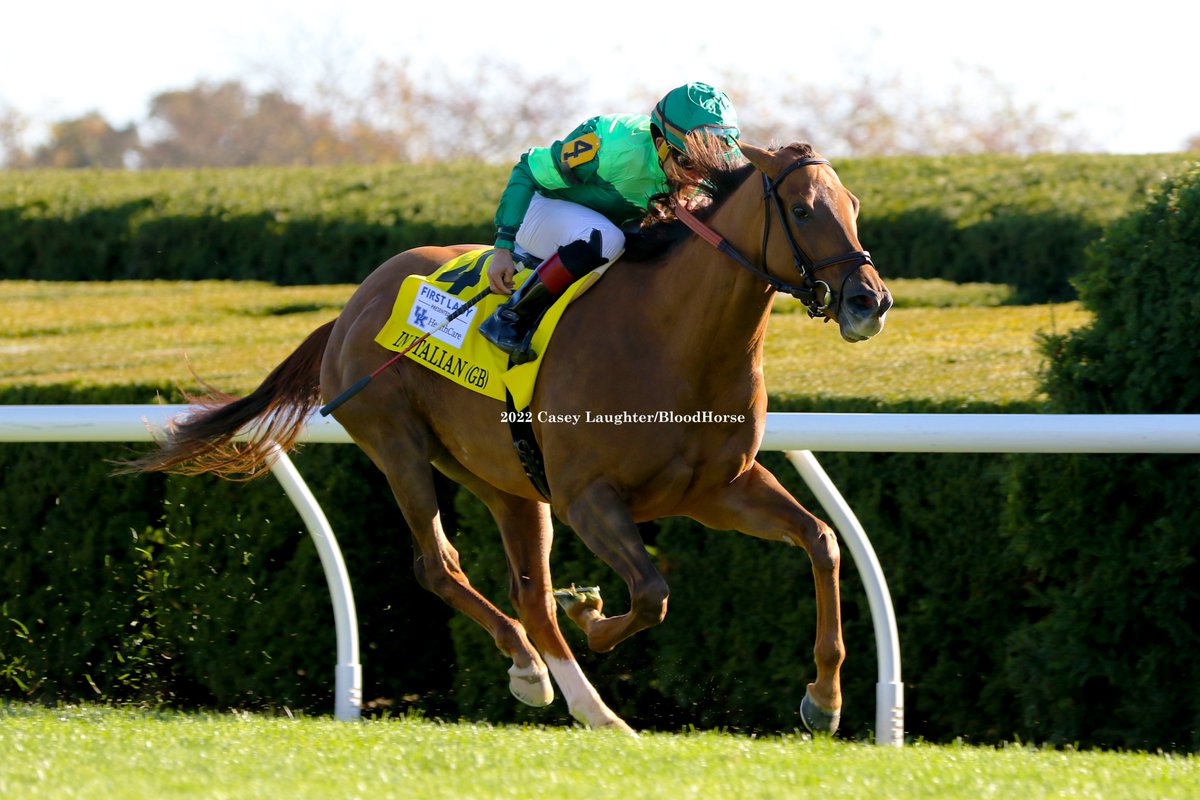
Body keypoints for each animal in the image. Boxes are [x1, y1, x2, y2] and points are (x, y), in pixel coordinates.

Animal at [126, 141, 891, 735]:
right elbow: (650, 592)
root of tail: (349, 307)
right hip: (397, 443)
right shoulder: (588, 496)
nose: (870, 301)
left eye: (853, 204)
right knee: (439, 566)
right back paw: (533, 671)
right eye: (802, 209)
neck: (675, 339)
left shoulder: (717, 488)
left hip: (506, 480)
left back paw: (587, 705)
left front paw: (823, 701)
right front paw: (594, 614)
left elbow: (822, 541)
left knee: (528, 594)